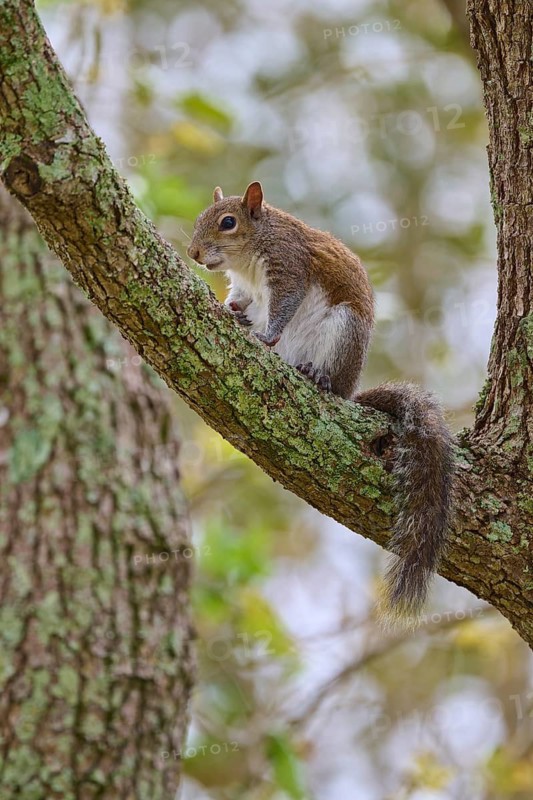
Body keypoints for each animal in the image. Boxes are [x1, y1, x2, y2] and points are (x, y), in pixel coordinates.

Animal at [188, 181, 454, 621]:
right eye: (198, 220)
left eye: (228, 222)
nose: (193, 253)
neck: (251, 252)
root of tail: (349, 388)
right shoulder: (246, 287)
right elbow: (242, 299)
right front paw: (232, 309)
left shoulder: (289, 266)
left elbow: (283, 307)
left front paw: (265, 334)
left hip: (342, 330)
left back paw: (318, 377)